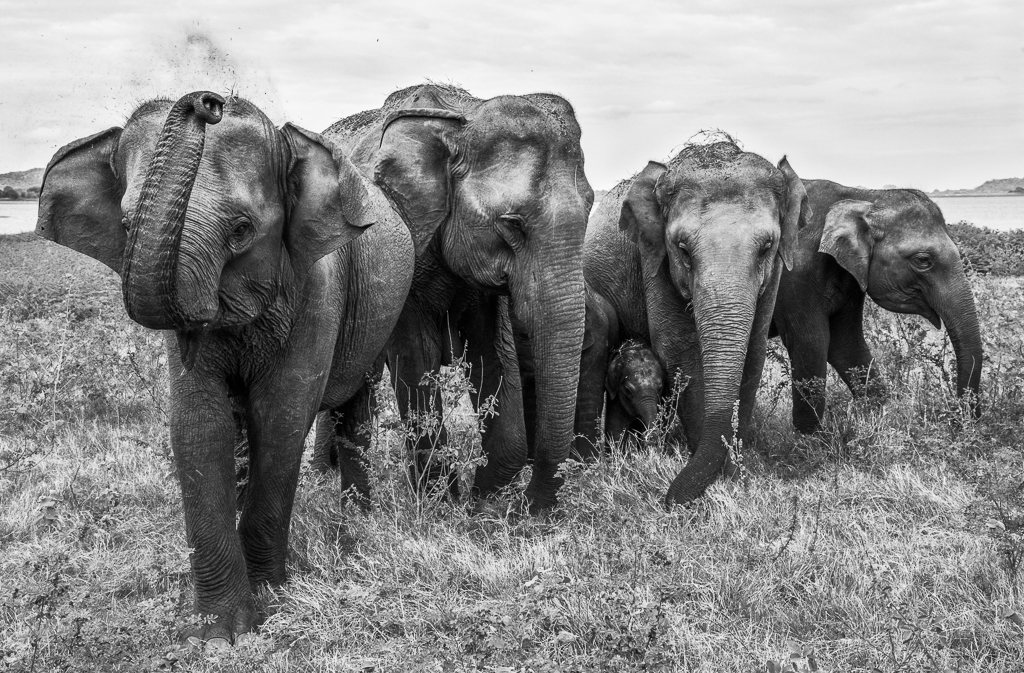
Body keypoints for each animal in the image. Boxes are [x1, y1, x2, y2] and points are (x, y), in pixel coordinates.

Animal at [37, 91, 411, 643]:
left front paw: (269, 599)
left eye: (241, 230)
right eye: (125, 227)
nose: (206, 101)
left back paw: (356, 527)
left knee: (355, 407)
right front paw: (219, 632)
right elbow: (199, 423)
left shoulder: (319, 287)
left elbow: (279, 419)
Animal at [319, 83, 593, 510]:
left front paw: (482, 502)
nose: (527, 509)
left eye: (592, 205)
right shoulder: (405, 252)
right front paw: (440, 505)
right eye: (512, 225)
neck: (463, 118)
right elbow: (419, 356)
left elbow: (493, 353)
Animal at [577, 144, 806, 506]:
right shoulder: (653, 259)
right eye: (683, 249)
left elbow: (753, 354)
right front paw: (721, 479)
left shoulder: (774, 277)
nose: (666, 500)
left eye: (767, 247)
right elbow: (681, 353)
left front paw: (733, 472)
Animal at [770, 178, 983, 430]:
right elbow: (811, 345)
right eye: (923, 260)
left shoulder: (851, 278)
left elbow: (846, 345)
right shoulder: (794, 275)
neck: (864, 197)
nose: (960, 420)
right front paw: (810, 438)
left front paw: (874, 419)